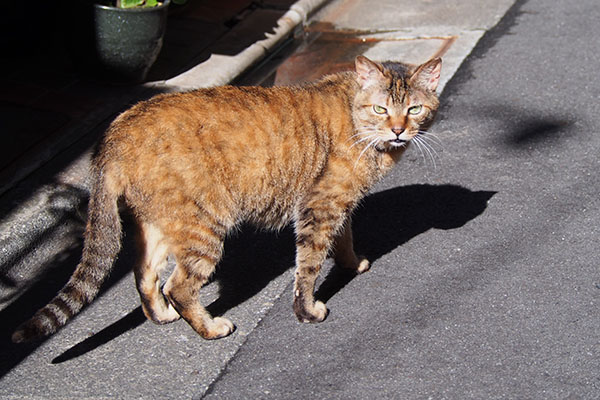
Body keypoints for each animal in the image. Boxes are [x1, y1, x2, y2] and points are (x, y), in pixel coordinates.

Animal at [10, 54, 440, 342]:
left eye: (415, 108)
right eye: (381, 108)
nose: (399, 130)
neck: (356, 120)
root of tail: (117, 129)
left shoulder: (340, 204)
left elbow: (344, 240)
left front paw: (352, 263)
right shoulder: (320, 207)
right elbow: (309, 266)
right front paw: (307, 311)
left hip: (160, 223)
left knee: (145, 274)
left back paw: (161, 316)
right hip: (203, 228)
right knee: (178, 287)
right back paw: (211, 328)